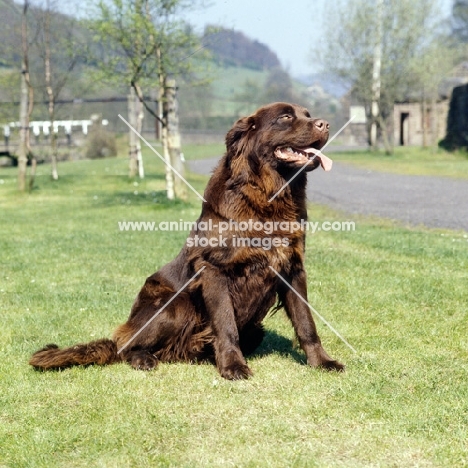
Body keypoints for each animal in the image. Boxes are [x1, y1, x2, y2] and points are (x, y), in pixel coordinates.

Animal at [29, 103, 344, 380]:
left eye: (308, 114)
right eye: (286, 117)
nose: (325, 124)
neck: (268, 197)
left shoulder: (292, 268)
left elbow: (306, 323)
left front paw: (322, 362)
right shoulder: (214, 270)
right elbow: (226, 324)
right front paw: (233, 366)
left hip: (253, 328)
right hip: (176, 305)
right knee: (126, 347)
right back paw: (144, 358)